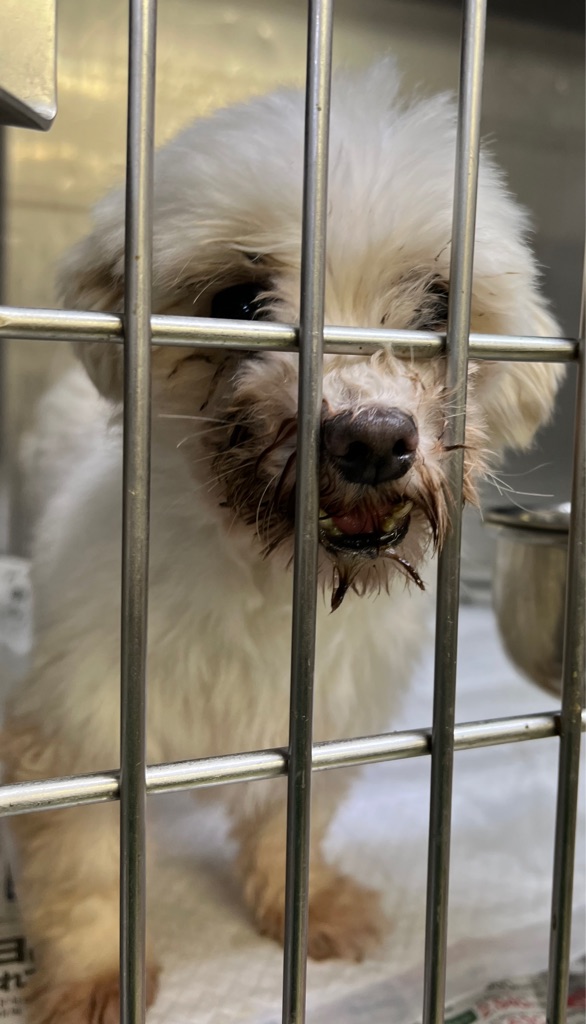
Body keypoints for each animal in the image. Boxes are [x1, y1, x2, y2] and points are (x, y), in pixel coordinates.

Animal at [3, 61, 564, 1023]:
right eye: (236, 304)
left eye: (439, 307)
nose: (372, 439)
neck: (269, 584)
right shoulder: (74, 735)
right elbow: (81, 865)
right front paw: (95, 975)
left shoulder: (330, 725)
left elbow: (290, 827)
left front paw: (310, 907)